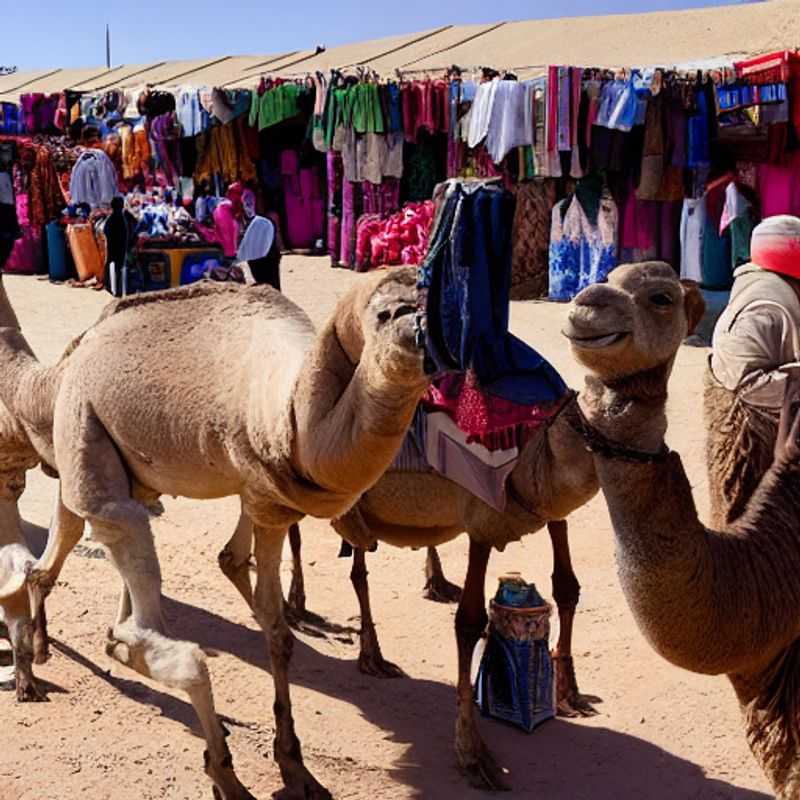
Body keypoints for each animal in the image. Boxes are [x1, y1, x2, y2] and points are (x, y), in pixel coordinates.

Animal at [0, 269, 429, 799]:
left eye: (432, 299)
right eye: (385, 312)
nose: (420, 334)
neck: (287, 412)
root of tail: (66, 367)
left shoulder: (269, 500)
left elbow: (276, 631)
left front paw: (295, 766)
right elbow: (179, 655)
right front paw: (225, 773)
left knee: (65, 555)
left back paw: (37, 651)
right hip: (84, 429)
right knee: (89, 542)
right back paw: (32, 661)